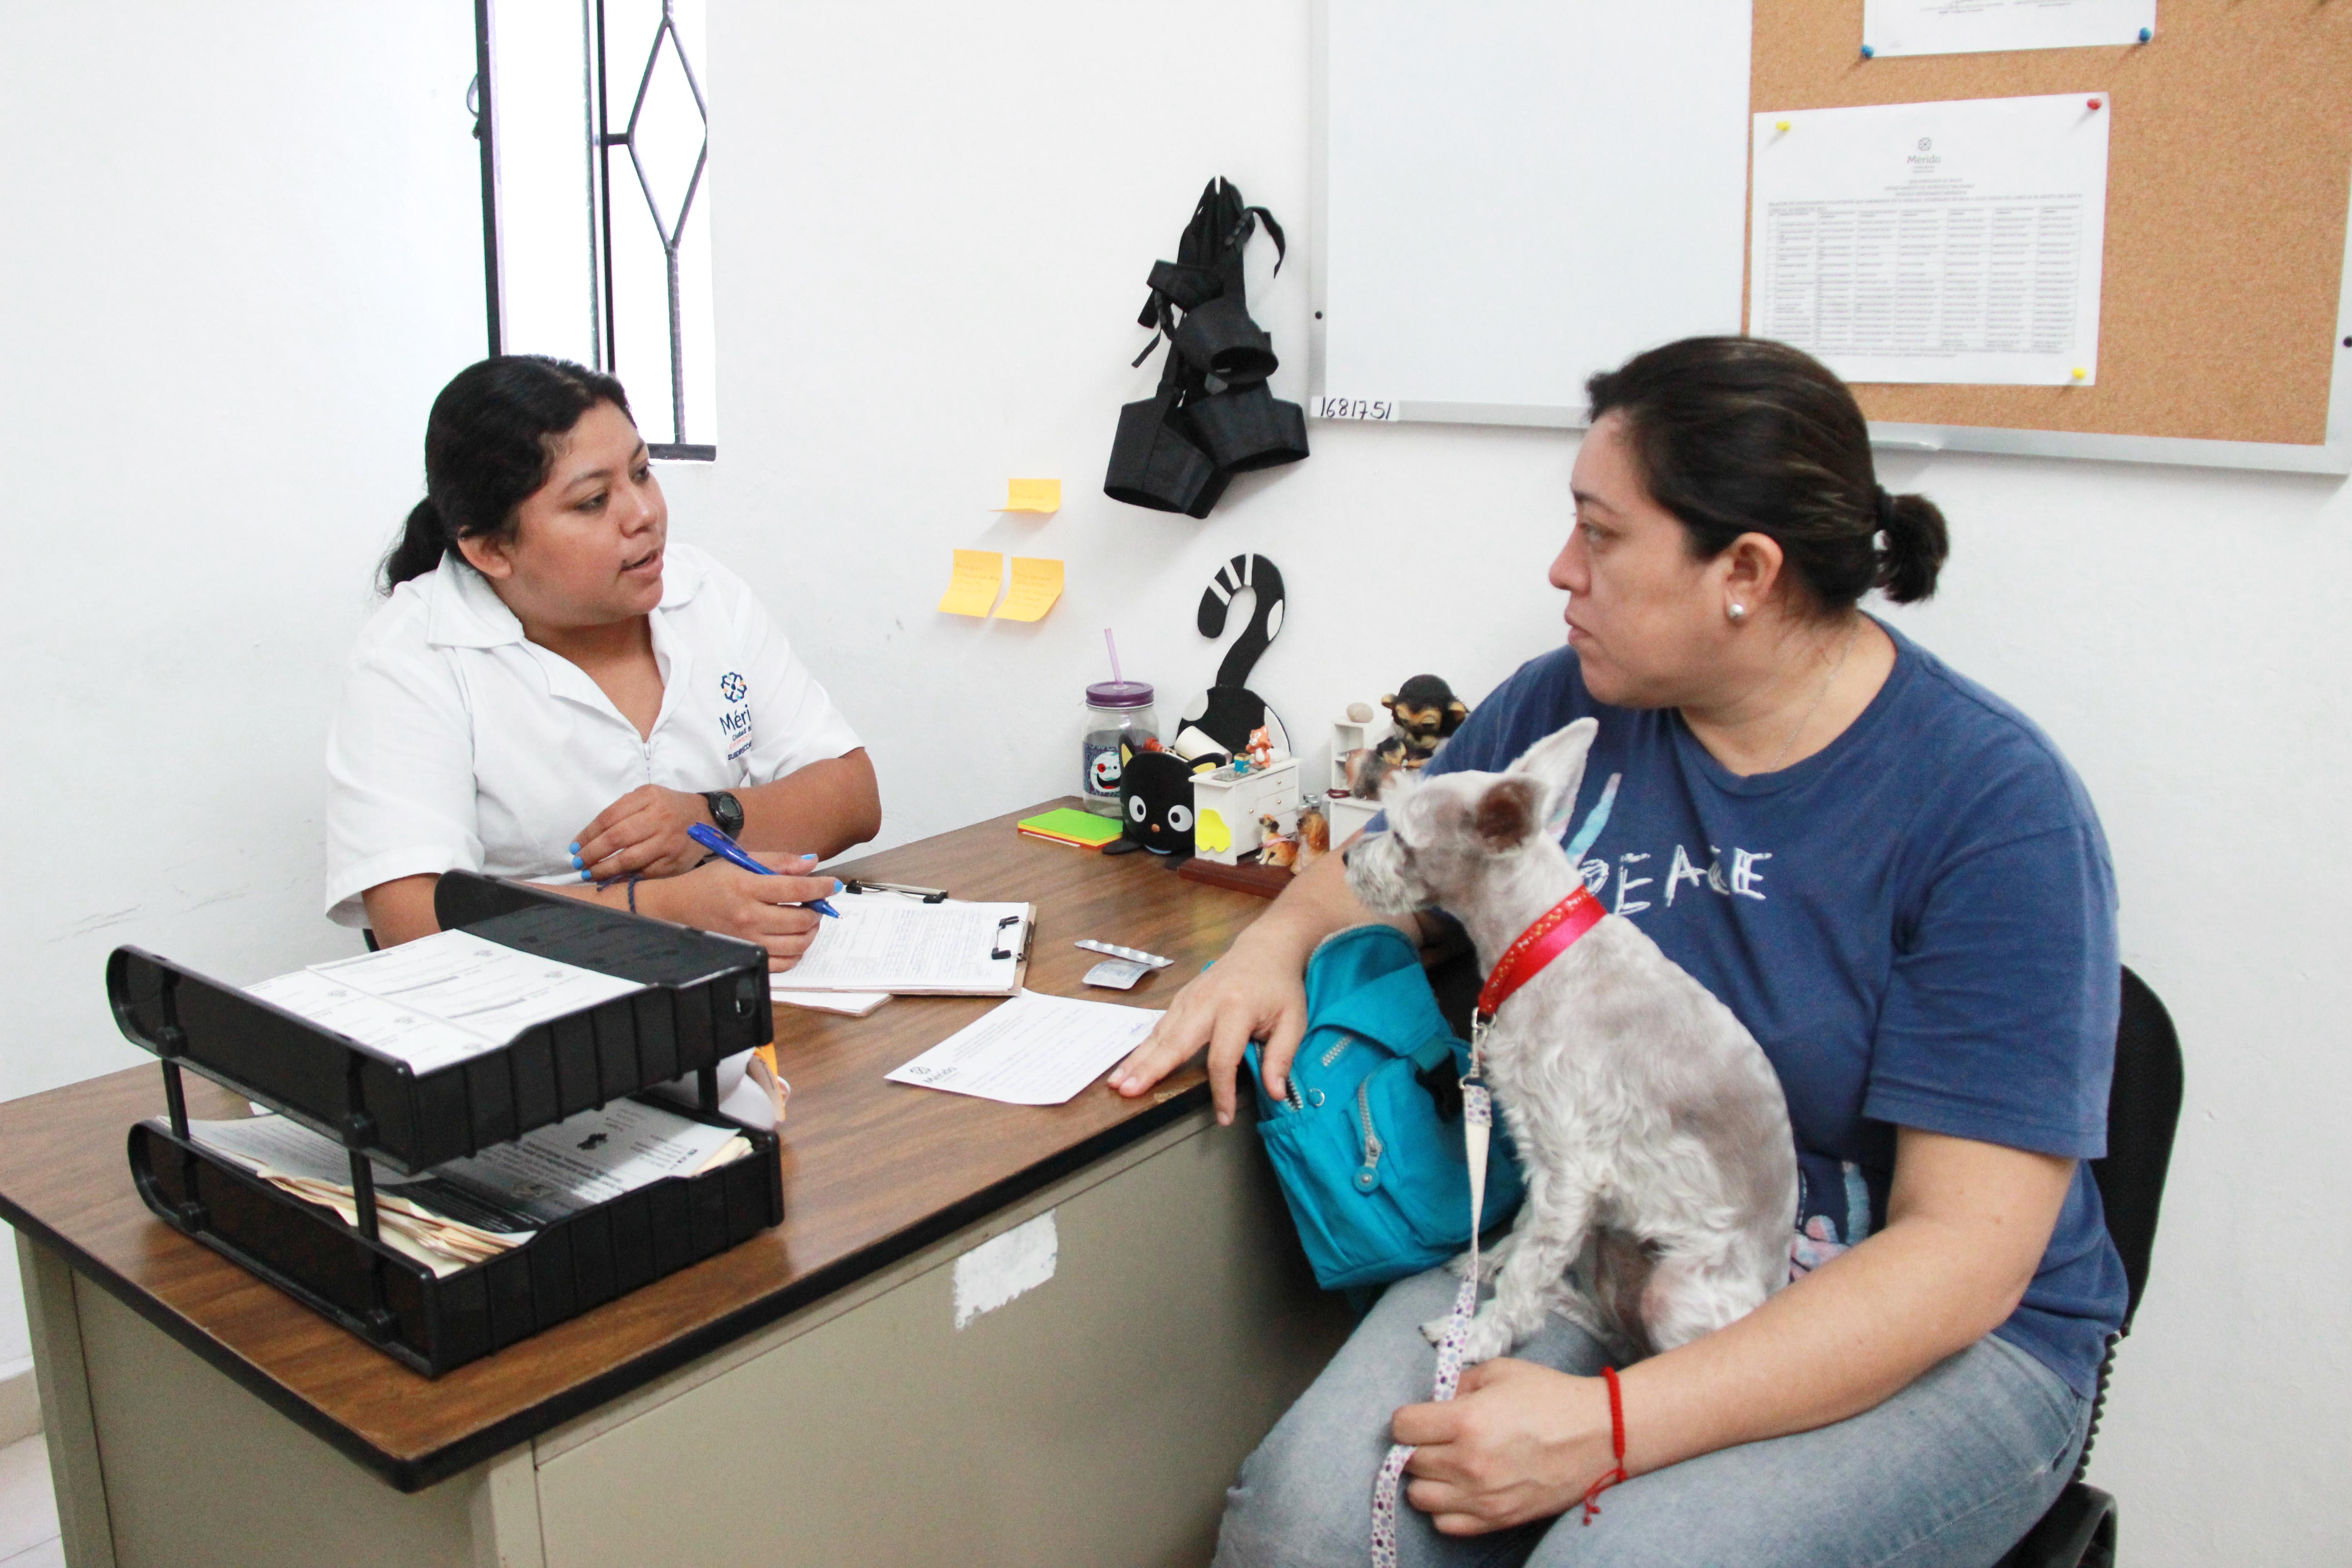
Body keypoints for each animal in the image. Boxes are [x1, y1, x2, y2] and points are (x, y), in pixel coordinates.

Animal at [1354, 719, 1787, 1363]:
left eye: (1404, 836)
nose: (1348, 857)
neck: (1537, 948)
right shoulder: (1542, 1151)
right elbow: (1527, 1229)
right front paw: (1493, 1261)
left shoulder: (1572, 1164)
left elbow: (1531, 1265)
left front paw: (1479, 1334)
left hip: (1676, 1293)